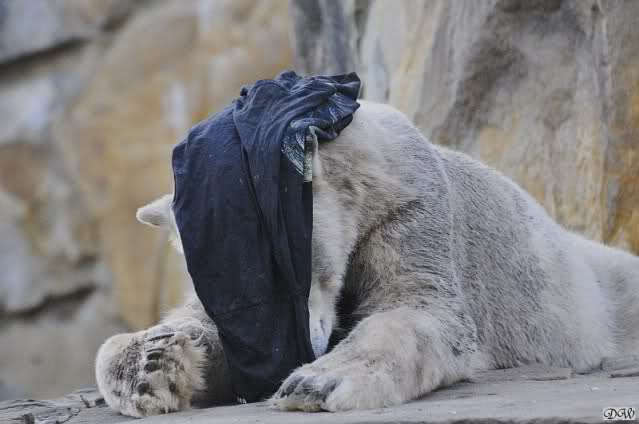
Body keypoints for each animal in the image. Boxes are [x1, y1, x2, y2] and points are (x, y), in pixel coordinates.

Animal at [95, 100, 639, 417]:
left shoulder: (412, 206)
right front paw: (148, 362)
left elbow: (420, 307)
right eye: (228, 292)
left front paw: (314, 382)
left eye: (282, 273)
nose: (306, 348)